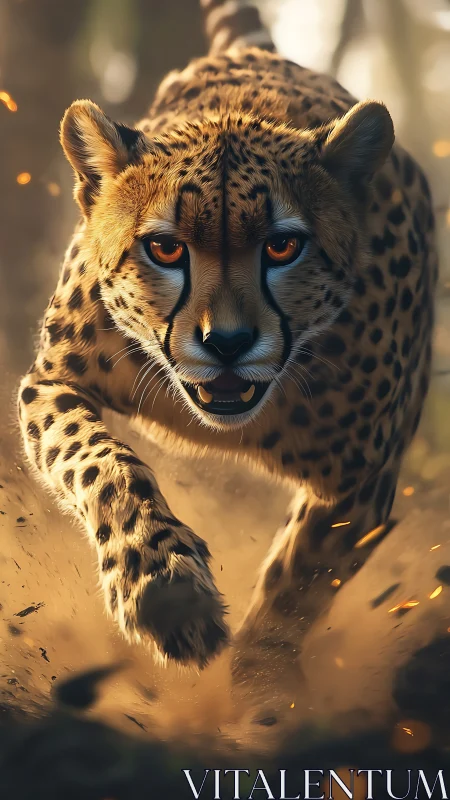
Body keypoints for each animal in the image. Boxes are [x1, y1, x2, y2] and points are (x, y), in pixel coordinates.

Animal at [18, 0, 437, 678]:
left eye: (283, 246)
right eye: (165, 248)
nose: (228, 342)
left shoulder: (363, 484)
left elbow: (296, 589)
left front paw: (256, 690)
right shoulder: (51, 380)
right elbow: (99, 462)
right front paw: (164, 588)